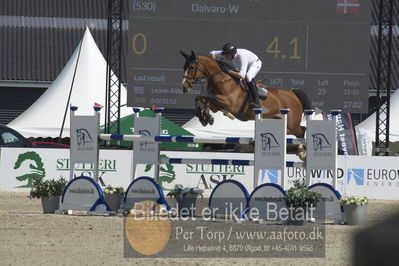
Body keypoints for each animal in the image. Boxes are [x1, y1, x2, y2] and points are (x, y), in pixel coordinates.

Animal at [181, 50, 312, 138]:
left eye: (191, 67)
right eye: (184, 67)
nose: (184, 87)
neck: (222, 81)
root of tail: (293, 94)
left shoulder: (230, 104)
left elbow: (209, 98)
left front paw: (207, 117)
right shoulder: (217, 106)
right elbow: (200, 98)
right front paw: (204, 117)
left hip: (292, 125)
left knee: (302, 131)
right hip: (282, 124)